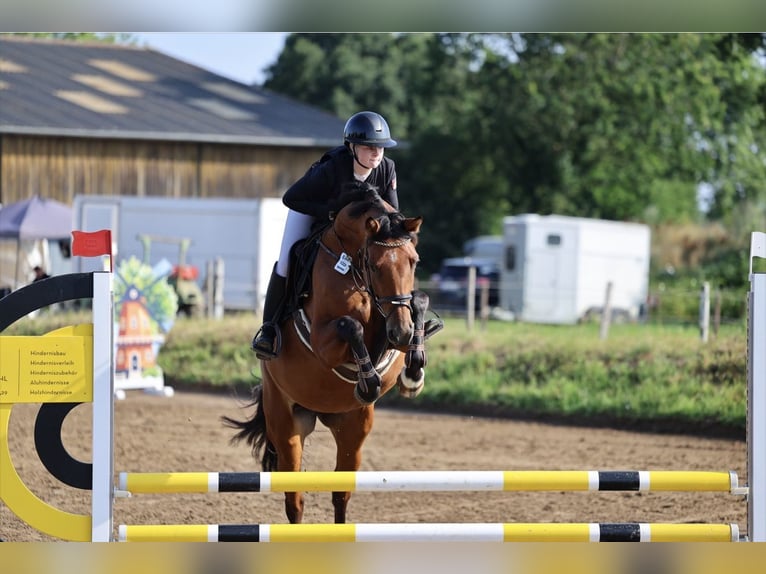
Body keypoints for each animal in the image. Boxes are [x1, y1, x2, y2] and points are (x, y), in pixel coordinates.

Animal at [223, 182, 433, 524]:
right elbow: (351, 326)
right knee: (294, 499)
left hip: (353, 428)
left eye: (413, 261)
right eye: (375, 265)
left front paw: (413, 373)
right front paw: (369, 382)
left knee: (340, 494)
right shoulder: (323, 342)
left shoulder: (390, 328)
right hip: (286, 423)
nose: (400, 332)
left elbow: (418, 300)